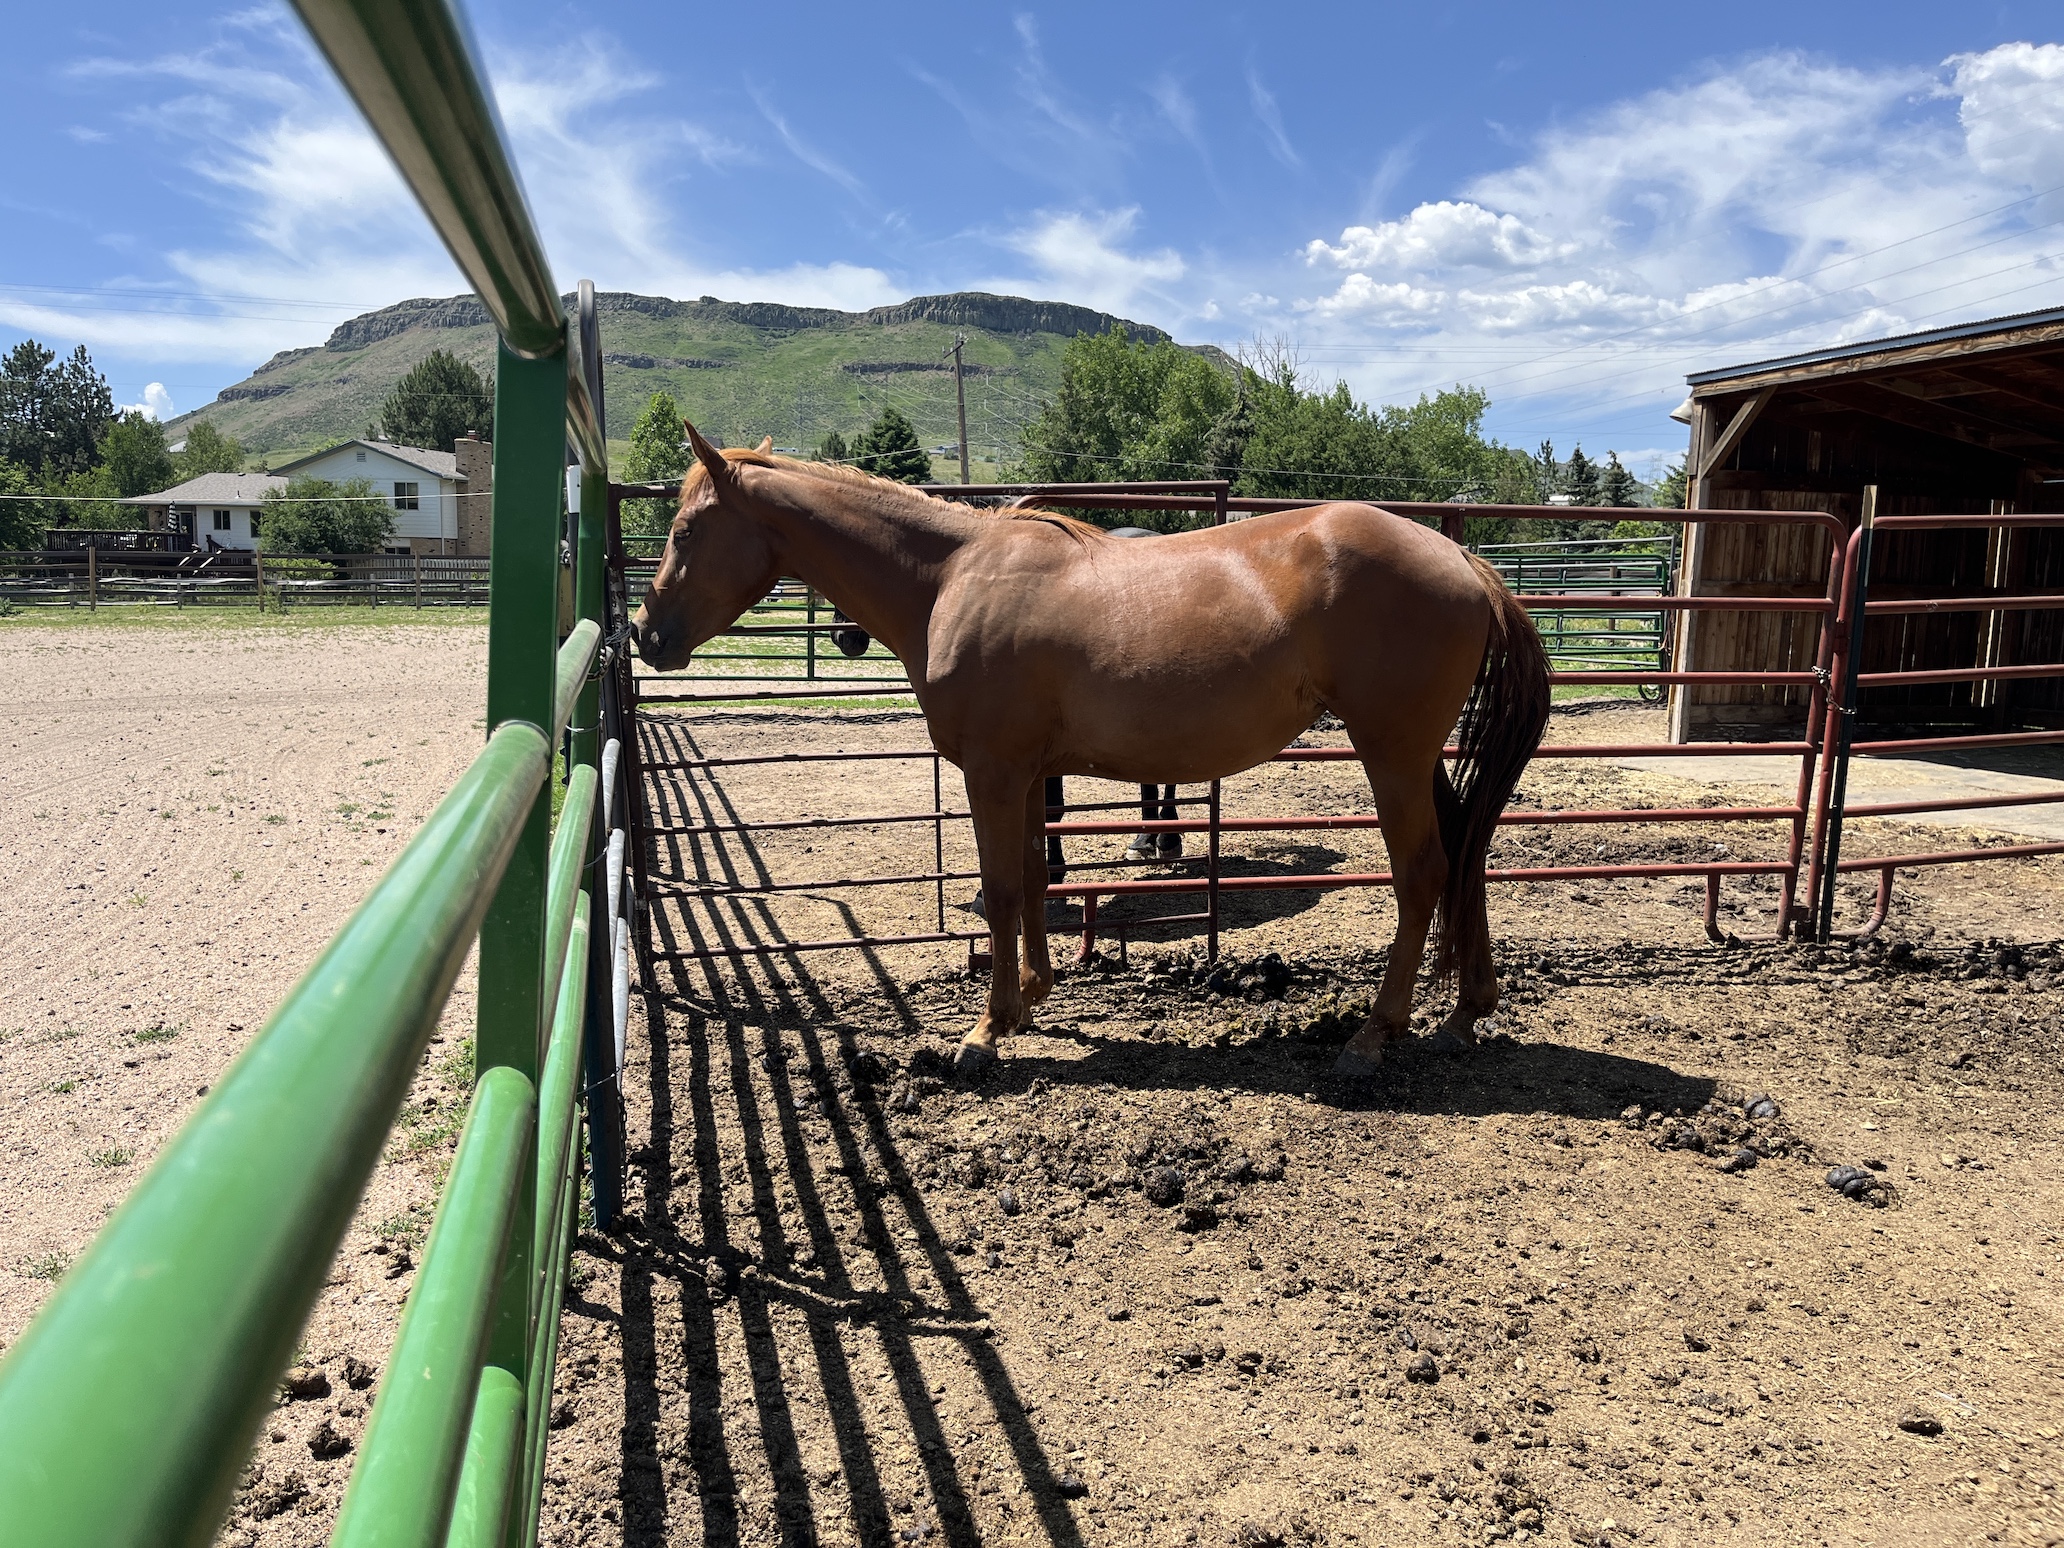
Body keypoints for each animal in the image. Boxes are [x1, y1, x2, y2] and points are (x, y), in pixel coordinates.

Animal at [633, 425, 1551, 1082]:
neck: (952, 577)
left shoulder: (993, 772)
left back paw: (1374, 1034)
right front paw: (1030, 1001)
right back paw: (1463, 1014)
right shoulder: (1030, 774)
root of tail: (1461, 556)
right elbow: (1038, 883)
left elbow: (1004, 891)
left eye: (684, 529)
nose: (646, 635)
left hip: (1390, 753)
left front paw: (984, 1032)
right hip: (1421, 756)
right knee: (1467, 849)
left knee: (1423, 873)